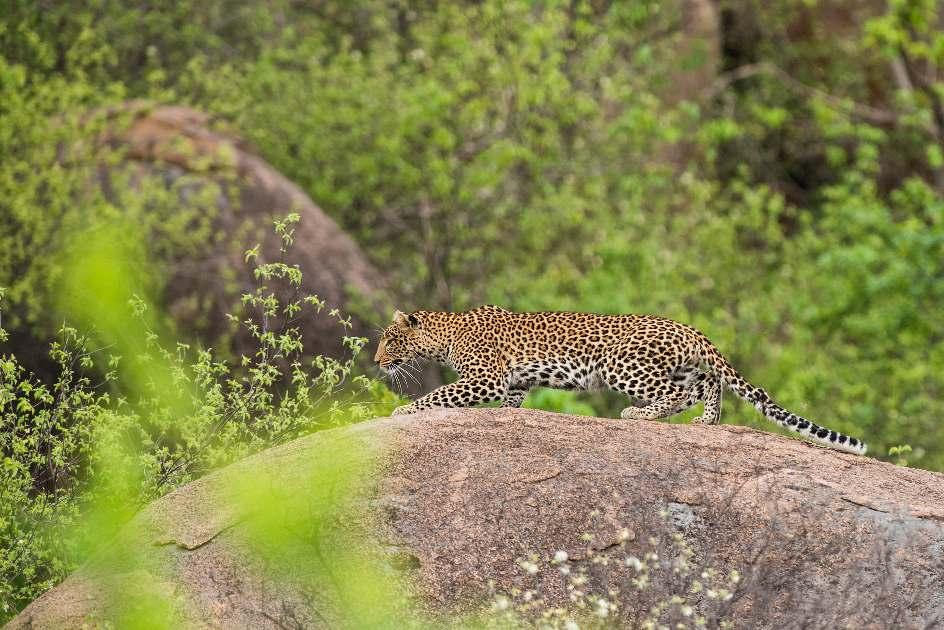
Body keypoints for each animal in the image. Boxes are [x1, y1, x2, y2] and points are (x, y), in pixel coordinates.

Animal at [376, 304, 872, 456]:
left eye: (389, 340)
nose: (378, 362)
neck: (446, 332)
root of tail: (689, 328)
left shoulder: (486, 379)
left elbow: (440, 393)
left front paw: (403, 410)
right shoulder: (513, 387)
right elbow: (510, 407)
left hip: (621, 365)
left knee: (676, 394)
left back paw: (640, 414)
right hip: (680, 365)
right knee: (705, 385)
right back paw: (707, 422)